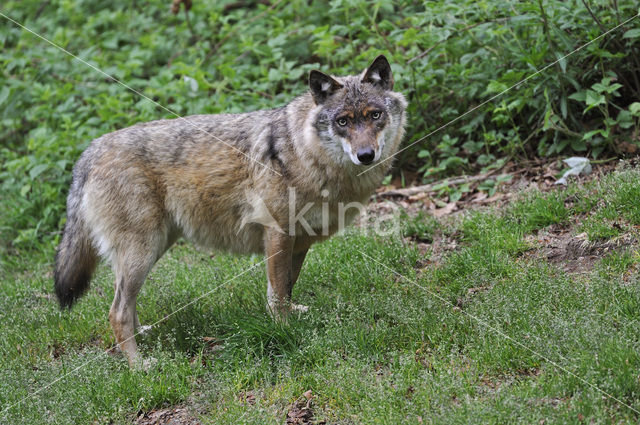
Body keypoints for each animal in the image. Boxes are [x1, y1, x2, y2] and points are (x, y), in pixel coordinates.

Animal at [53, 54, 404, 366]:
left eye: (374, 115)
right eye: (343, 121)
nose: (366, 155)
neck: (306, 155)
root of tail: (90, 150)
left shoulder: (299, 242)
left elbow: (287, 289)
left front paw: (292, 317)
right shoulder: (277, 235)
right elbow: (278, 294)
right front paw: (285, 332)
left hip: (152, 250)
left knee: (126, 304)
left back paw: (145, 335)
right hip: (142, 253)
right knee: (117, 312)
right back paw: (140, 366)